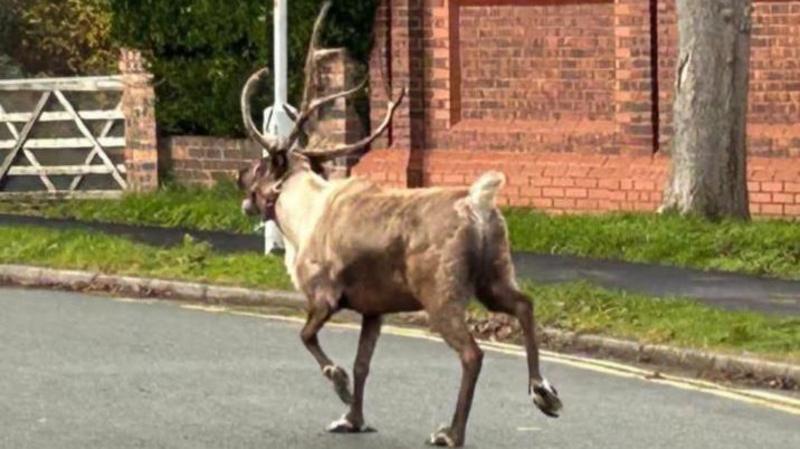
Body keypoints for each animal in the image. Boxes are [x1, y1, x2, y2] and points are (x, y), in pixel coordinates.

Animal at [236, 3, 562, 446]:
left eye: (260, 165)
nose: (238, 179)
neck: (299, 217)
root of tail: (478, 204)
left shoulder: (324, 295)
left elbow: (307, 337)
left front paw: (339, 385)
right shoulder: (374, 308)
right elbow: (363, 364)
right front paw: (352, 418)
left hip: (440, 293)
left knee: (472, 353)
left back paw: (451, 432)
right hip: (493, 276)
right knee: (525, 305)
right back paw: (543, 392)